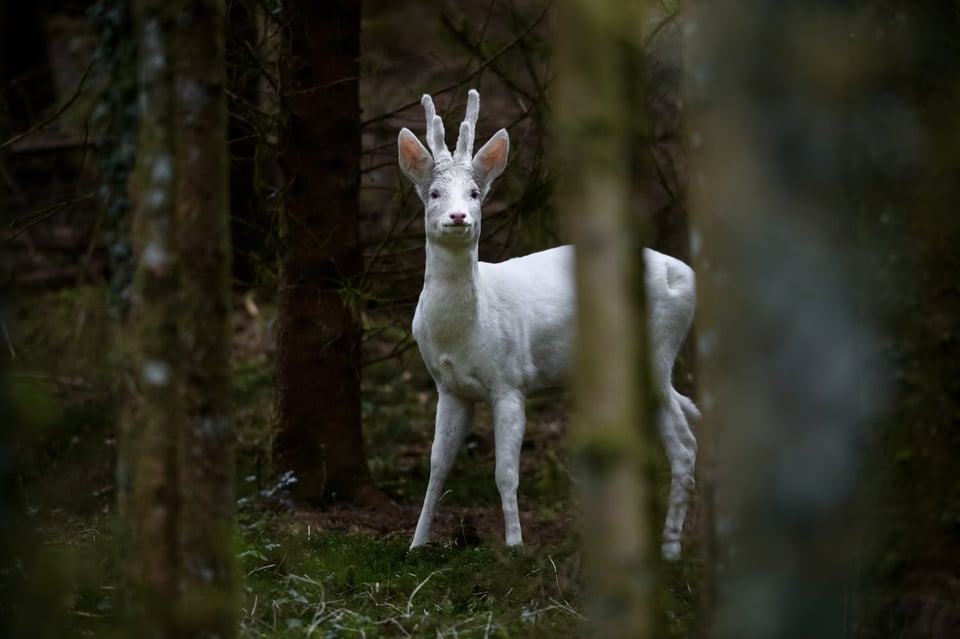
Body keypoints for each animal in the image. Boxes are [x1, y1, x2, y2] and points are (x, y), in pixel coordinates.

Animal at [396, 89, 696, 560]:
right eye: (434, 193)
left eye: (476, 192)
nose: (459, 217)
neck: (464, 331)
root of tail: (683, 273)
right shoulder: (449, 386)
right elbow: (437, 466)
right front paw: (416, 543)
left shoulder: (510, 379)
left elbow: (505, 472)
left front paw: (515, 545)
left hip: (659, 348)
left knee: (684, 447)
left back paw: (669, 551)